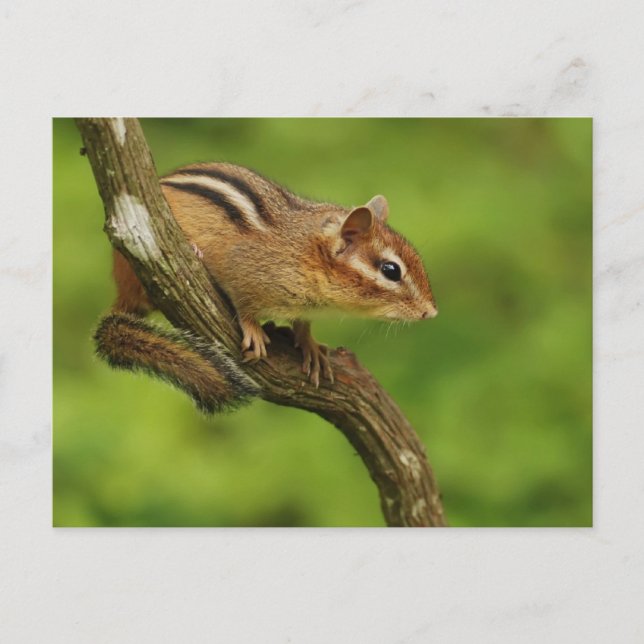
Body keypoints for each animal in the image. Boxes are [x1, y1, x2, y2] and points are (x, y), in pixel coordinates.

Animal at [95, 162, 438, 412]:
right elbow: (245, 305)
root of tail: (122, 292)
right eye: (391, 270)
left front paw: (310, 345)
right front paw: (254, 330)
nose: (430, 313)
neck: (305, 253)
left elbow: (302, 324)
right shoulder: (243, 271)